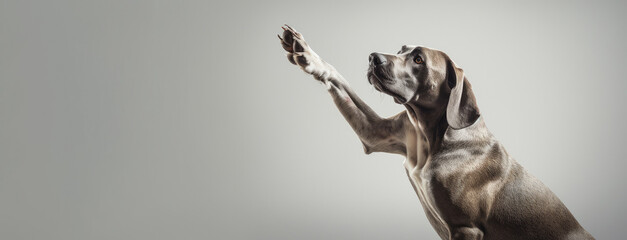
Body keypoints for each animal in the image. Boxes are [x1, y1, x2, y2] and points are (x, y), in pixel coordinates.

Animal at [278, 24, 592, 240]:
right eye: (401, 50)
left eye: (418, 60)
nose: (373, 57)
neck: (431, 132)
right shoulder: (378, 133)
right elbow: (337, 78)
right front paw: (306, 55)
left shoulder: (465, 228)